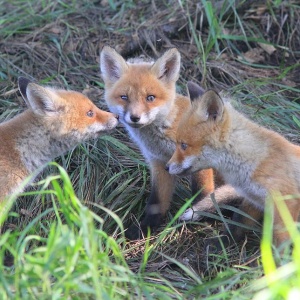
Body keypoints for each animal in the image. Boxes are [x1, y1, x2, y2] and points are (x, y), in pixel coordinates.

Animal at [101, 46, 246, 239]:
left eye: (150, 98)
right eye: (124, 97)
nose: (135, 117)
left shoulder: (199, 158)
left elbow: (202, 192)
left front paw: (199, 216)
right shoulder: (158, 162)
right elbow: (157, 201)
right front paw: (146, 227)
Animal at [166, 81, 300, 247]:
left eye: (183, 145)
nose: (166, 167)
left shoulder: (286, 201)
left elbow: (280, 244)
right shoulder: (254, 199)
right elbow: (237, 224)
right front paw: (221, 244)